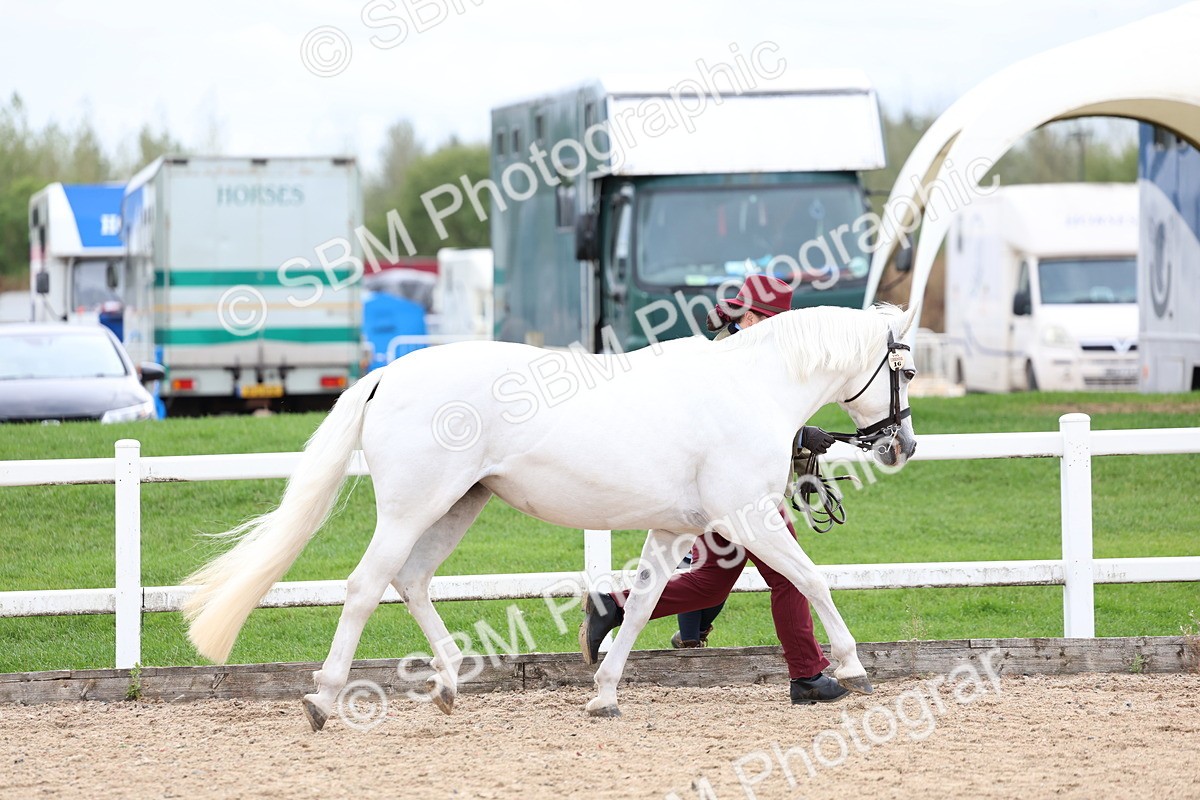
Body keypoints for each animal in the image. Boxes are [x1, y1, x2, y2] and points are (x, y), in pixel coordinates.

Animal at [182, 303, 919, 730]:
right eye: (906, 372)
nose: (903, 445)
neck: (751, 387)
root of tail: (387, 375)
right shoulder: (750, 518)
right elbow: (811, 580)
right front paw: (850, 669)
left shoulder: (673, 528)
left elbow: (642, 605)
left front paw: (604, 693)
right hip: (412, 507)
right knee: (366, 587)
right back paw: (324, 699)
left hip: (459, 504)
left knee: (411, 581)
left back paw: (450, 683)